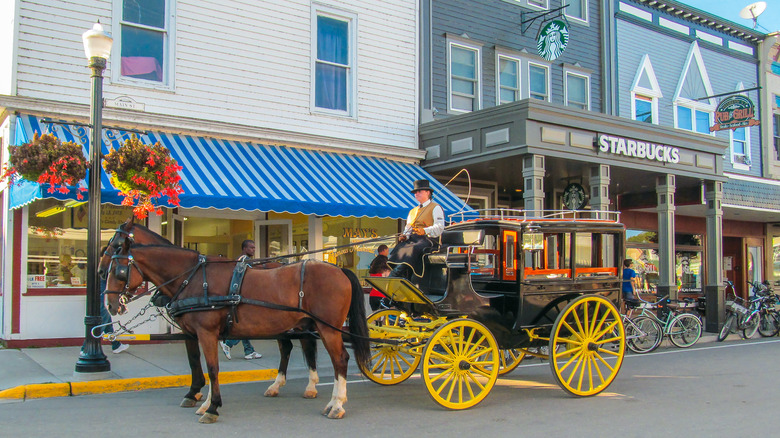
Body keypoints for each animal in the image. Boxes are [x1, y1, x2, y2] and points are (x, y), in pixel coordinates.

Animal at [102, 233, 370, 420]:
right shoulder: (195, 333)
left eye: (119, 269)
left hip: (329, 328)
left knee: (340, 360)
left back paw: (336, 404)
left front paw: (212, 407)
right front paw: (202, 401)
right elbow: (202, 365)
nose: (111, 304)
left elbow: (212, 368)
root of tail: (340, 270)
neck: (193, 278)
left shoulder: (206, 332)